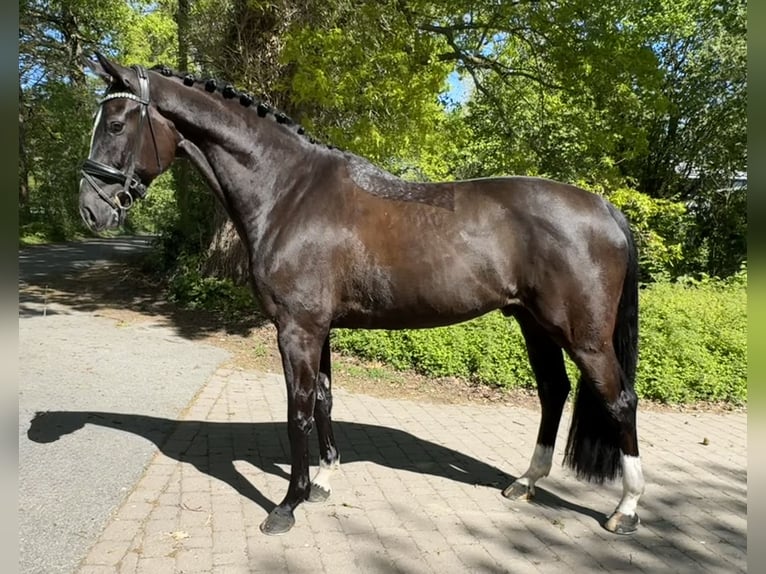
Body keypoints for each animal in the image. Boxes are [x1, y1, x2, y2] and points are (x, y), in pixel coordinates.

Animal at [78, 53, 644, 536]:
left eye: (116, 124)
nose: (90, 209)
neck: (289, 191)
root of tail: (605, 208)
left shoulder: (297, 330)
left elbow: (299, 411)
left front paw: (287, 505)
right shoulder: (319, 329)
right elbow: (325, 399)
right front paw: (323, 483)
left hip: (585, 337)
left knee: (620, 401)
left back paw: (626, 509)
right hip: (534, 324)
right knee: (553, 392)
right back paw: (525, 483)